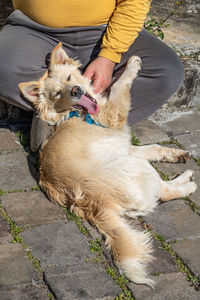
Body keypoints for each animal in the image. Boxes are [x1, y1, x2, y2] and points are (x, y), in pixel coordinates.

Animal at [18, 42, 197, 286]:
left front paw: (175, 153)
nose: (76, 91)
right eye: (57, 93)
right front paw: (132, 65)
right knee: (165, 192)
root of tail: (95, 205)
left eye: (69, 77)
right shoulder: (116, 115)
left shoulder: (123, 145)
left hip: (130, 161)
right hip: (139, 169)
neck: (76, 113)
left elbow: (154, 148)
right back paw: (188, 182)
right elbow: (120, 87)